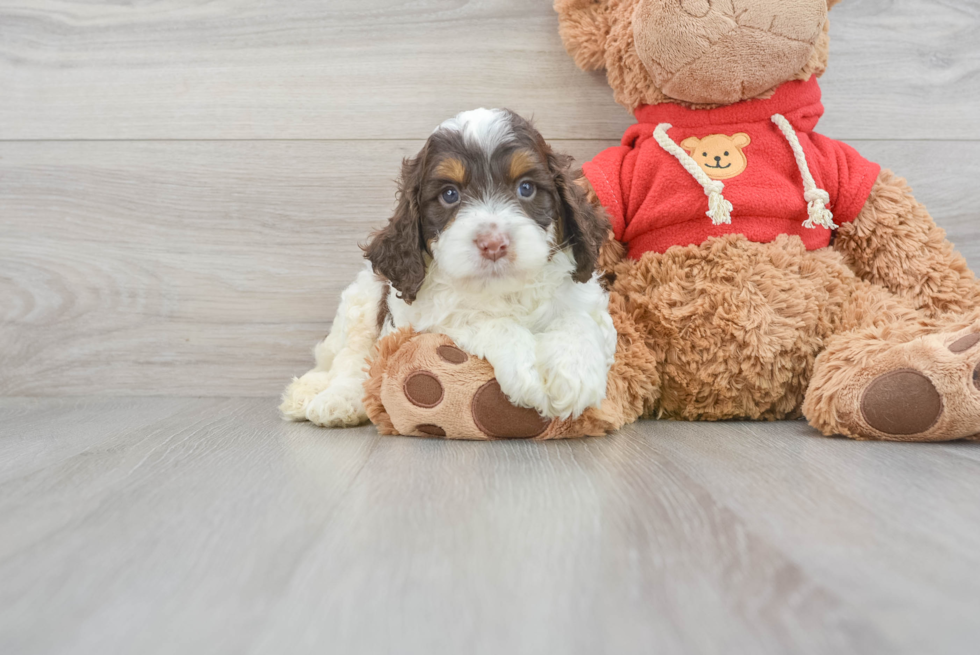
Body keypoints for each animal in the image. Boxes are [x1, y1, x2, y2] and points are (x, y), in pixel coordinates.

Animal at [282, 110, 612, 428]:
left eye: (526, 188)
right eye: (450, 195)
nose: (493, 244)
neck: (502, 290)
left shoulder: (586, 298)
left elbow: (577, 318)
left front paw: (575, 374)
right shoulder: (424, 320)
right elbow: (484, 320)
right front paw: (525, 370)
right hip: (362, 301)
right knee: (350, 360)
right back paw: (331, 400)